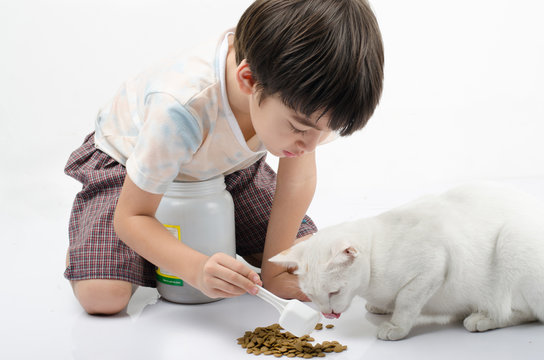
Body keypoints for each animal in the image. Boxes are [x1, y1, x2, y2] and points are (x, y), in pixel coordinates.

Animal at [270, 183, 544, 340]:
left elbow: (405, 302)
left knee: (523, 313)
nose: (327, 313)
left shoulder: (432, 268)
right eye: (311, 296)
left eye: (334, 292)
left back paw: (482, 318)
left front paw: (395, 327)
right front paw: (380, 307)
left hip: (512, 242)